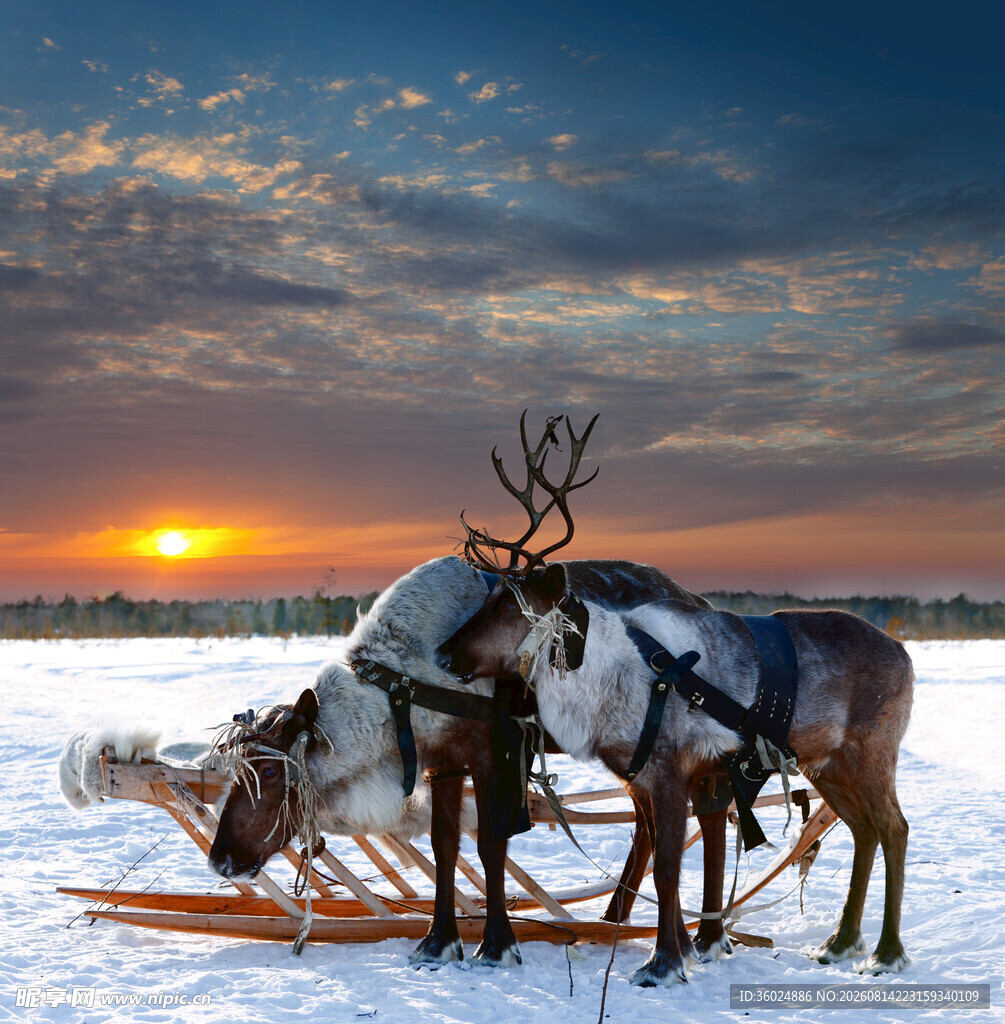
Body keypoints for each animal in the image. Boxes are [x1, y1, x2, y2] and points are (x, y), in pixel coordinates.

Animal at [440, 415, 914, 987]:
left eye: (508, 607)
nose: (443, 653)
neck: (606, 677)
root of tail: (905, 652)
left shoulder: (669, 771)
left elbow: (666, 869)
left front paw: (662, 963)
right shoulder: (643, 777)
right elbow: (659, 862)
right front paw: (685, 950)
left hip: (871, 754)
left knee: (894, 828)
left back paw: (886, 952)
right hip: (826, 764)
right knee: (864, 831)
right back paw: (840, 942)